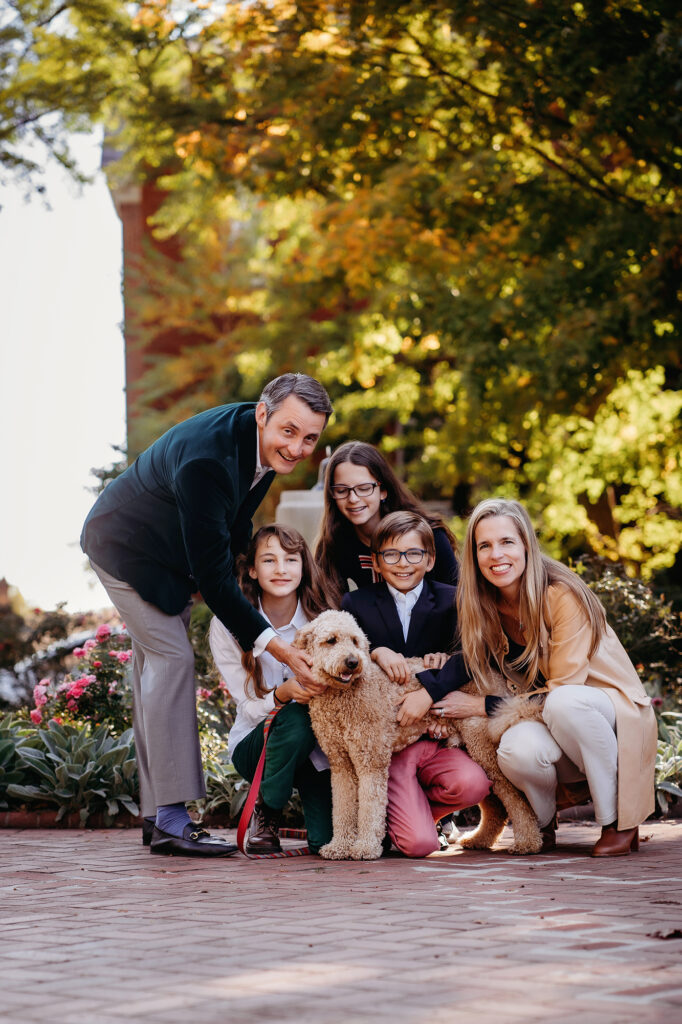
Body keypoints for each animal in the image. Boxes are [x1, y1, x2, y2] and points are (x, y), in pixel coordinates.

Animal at [294, 610, 544, 860]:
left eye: (355, 641)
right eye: (331, 640)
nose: (353, 662)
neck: (344, 695)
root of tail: (495, 676)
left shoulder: (371, 761)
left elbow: (370, 807)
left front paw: (365, 847)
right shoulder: (341, 764)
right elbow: (342, 807)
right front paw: (339, 846)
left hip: (483, 748)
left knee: (515, 797)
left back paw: (527, 842)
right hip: (475, 752)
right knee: (496, 805)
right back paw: (479, 840)